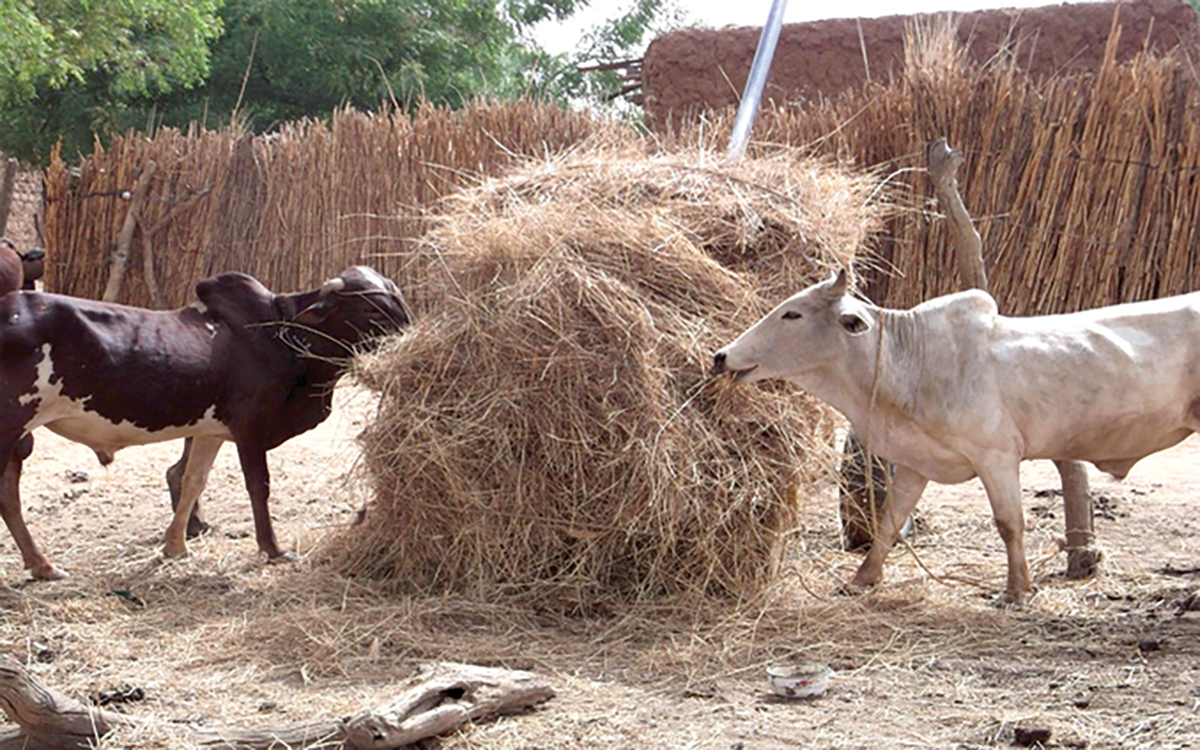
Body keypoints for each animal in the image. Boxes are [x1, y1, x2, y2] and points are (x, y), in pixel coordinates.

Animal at [0, 266, 410, 580]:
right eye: (373, 309)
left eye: (399, 301)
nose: (410, 333)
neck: (282, 336)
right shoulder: (249, 427)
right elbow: (258, 486)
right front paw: (273, 549)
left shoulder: (210, 431)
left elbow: (192, 481)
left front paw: (176, 546)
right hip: (10, 425)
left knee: (9, 498)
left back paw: (42, 566)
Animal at [713, 269, 1200, 605]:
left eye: (792, 313)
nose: (722, 356)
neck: (908, 360)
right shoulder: (915, 461)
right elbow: (888, 522)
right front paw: (861, 580)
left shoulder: (996, 455)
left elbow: (1009, 524)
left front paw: (1016, 591)